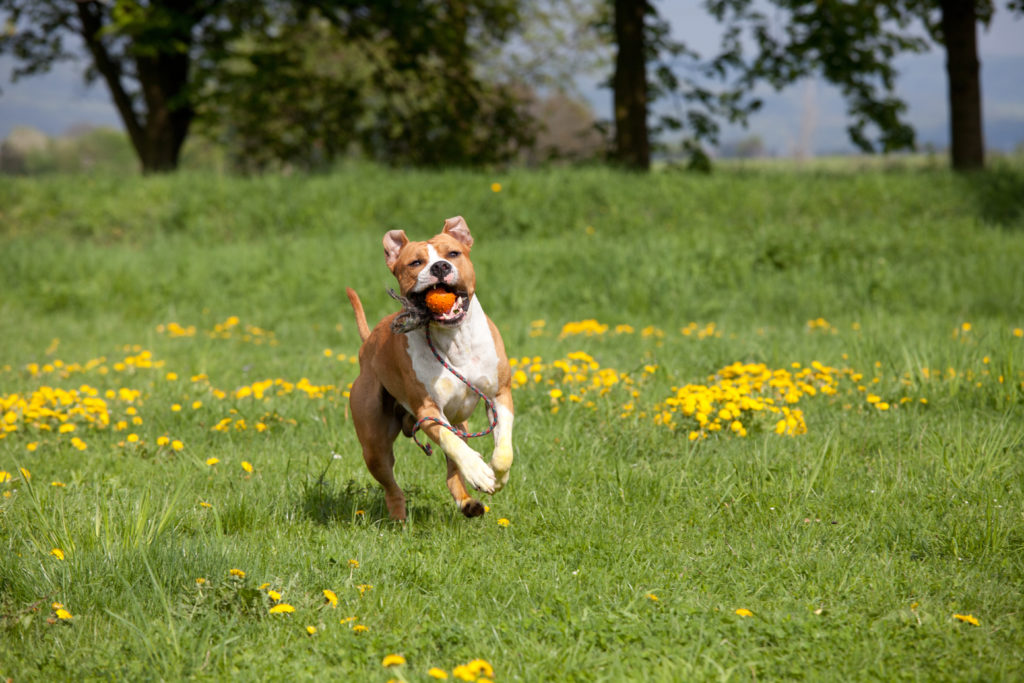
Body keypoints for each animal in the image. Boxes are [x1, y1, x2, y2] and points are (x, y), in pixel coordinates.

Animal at [348, 216, 516, 520]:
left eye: (453, 253)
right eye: (415, 262)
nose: (440, 267)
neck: (454, 339)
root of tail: (368, 342)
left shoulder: (500, 395)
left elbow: (503, 448)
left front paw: (497, 477)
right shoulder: (428, 411)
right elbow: (452, 442)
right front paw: (479, 471)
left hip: (460, 423)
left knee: (453, 472)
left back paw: (468, 503)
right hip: (374, 445)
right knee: (391, 485)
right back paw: (399, 519)